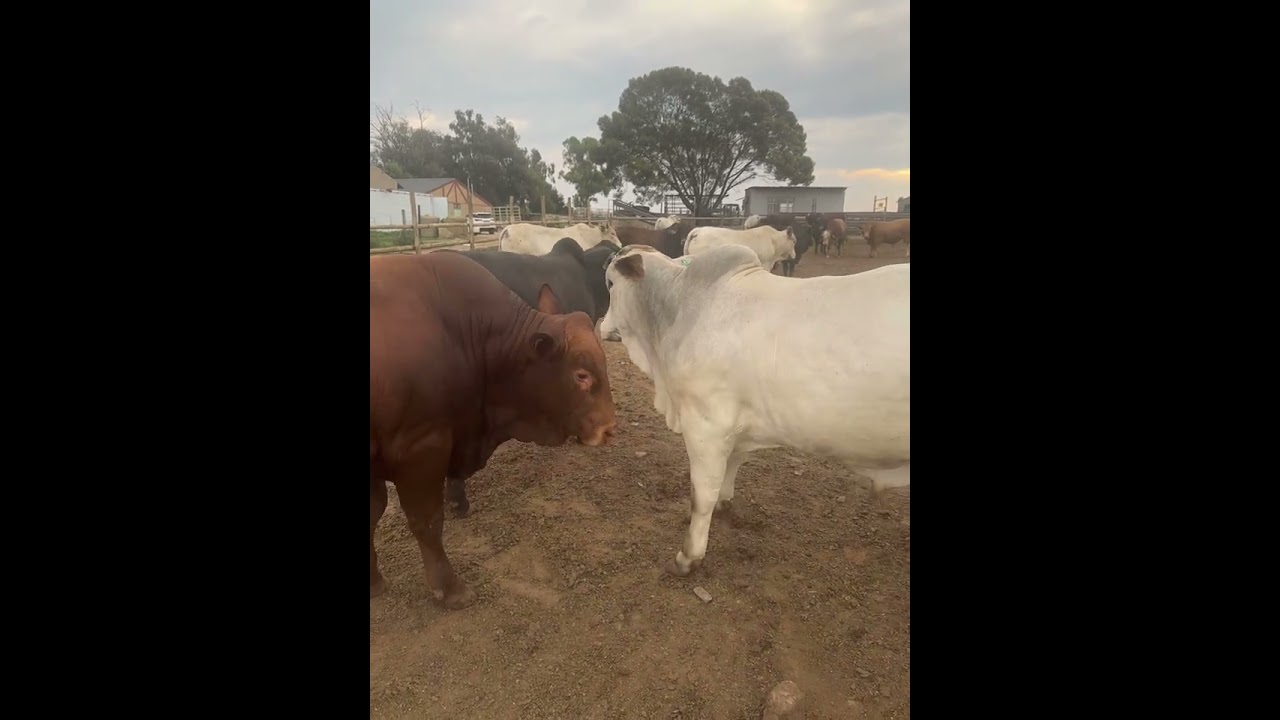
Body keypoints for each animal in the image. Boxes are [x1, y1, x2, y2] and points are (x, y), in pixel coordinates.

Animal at [596, 245, 909, 578]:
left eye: (610, 284)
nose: (600, 325)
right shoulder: (735, 429)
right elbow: (730, 470)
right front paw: (724, 505)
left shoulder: (706, 426)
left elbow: (701, 496)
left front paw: (688, 556)